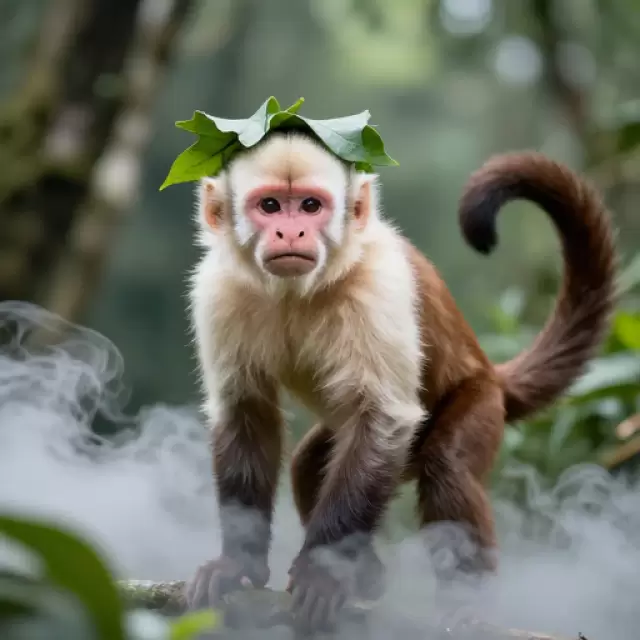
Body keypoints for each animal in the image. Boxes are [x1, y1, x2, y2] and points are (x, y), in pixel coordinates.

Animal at [184, 130, 617, 631]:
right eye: (270, 205)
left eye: (311, 206)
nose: (291, 232)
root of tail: (490, 370)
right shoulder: (217, 290)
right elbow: (246, 412)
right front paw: (237, 564)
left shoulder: (378, 283)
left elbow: (384, 419)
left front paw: (325, 573)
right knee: (309, 462)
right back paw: (367, 573)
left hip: (481, 399)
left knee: (445, 463)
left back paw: (467, 604)